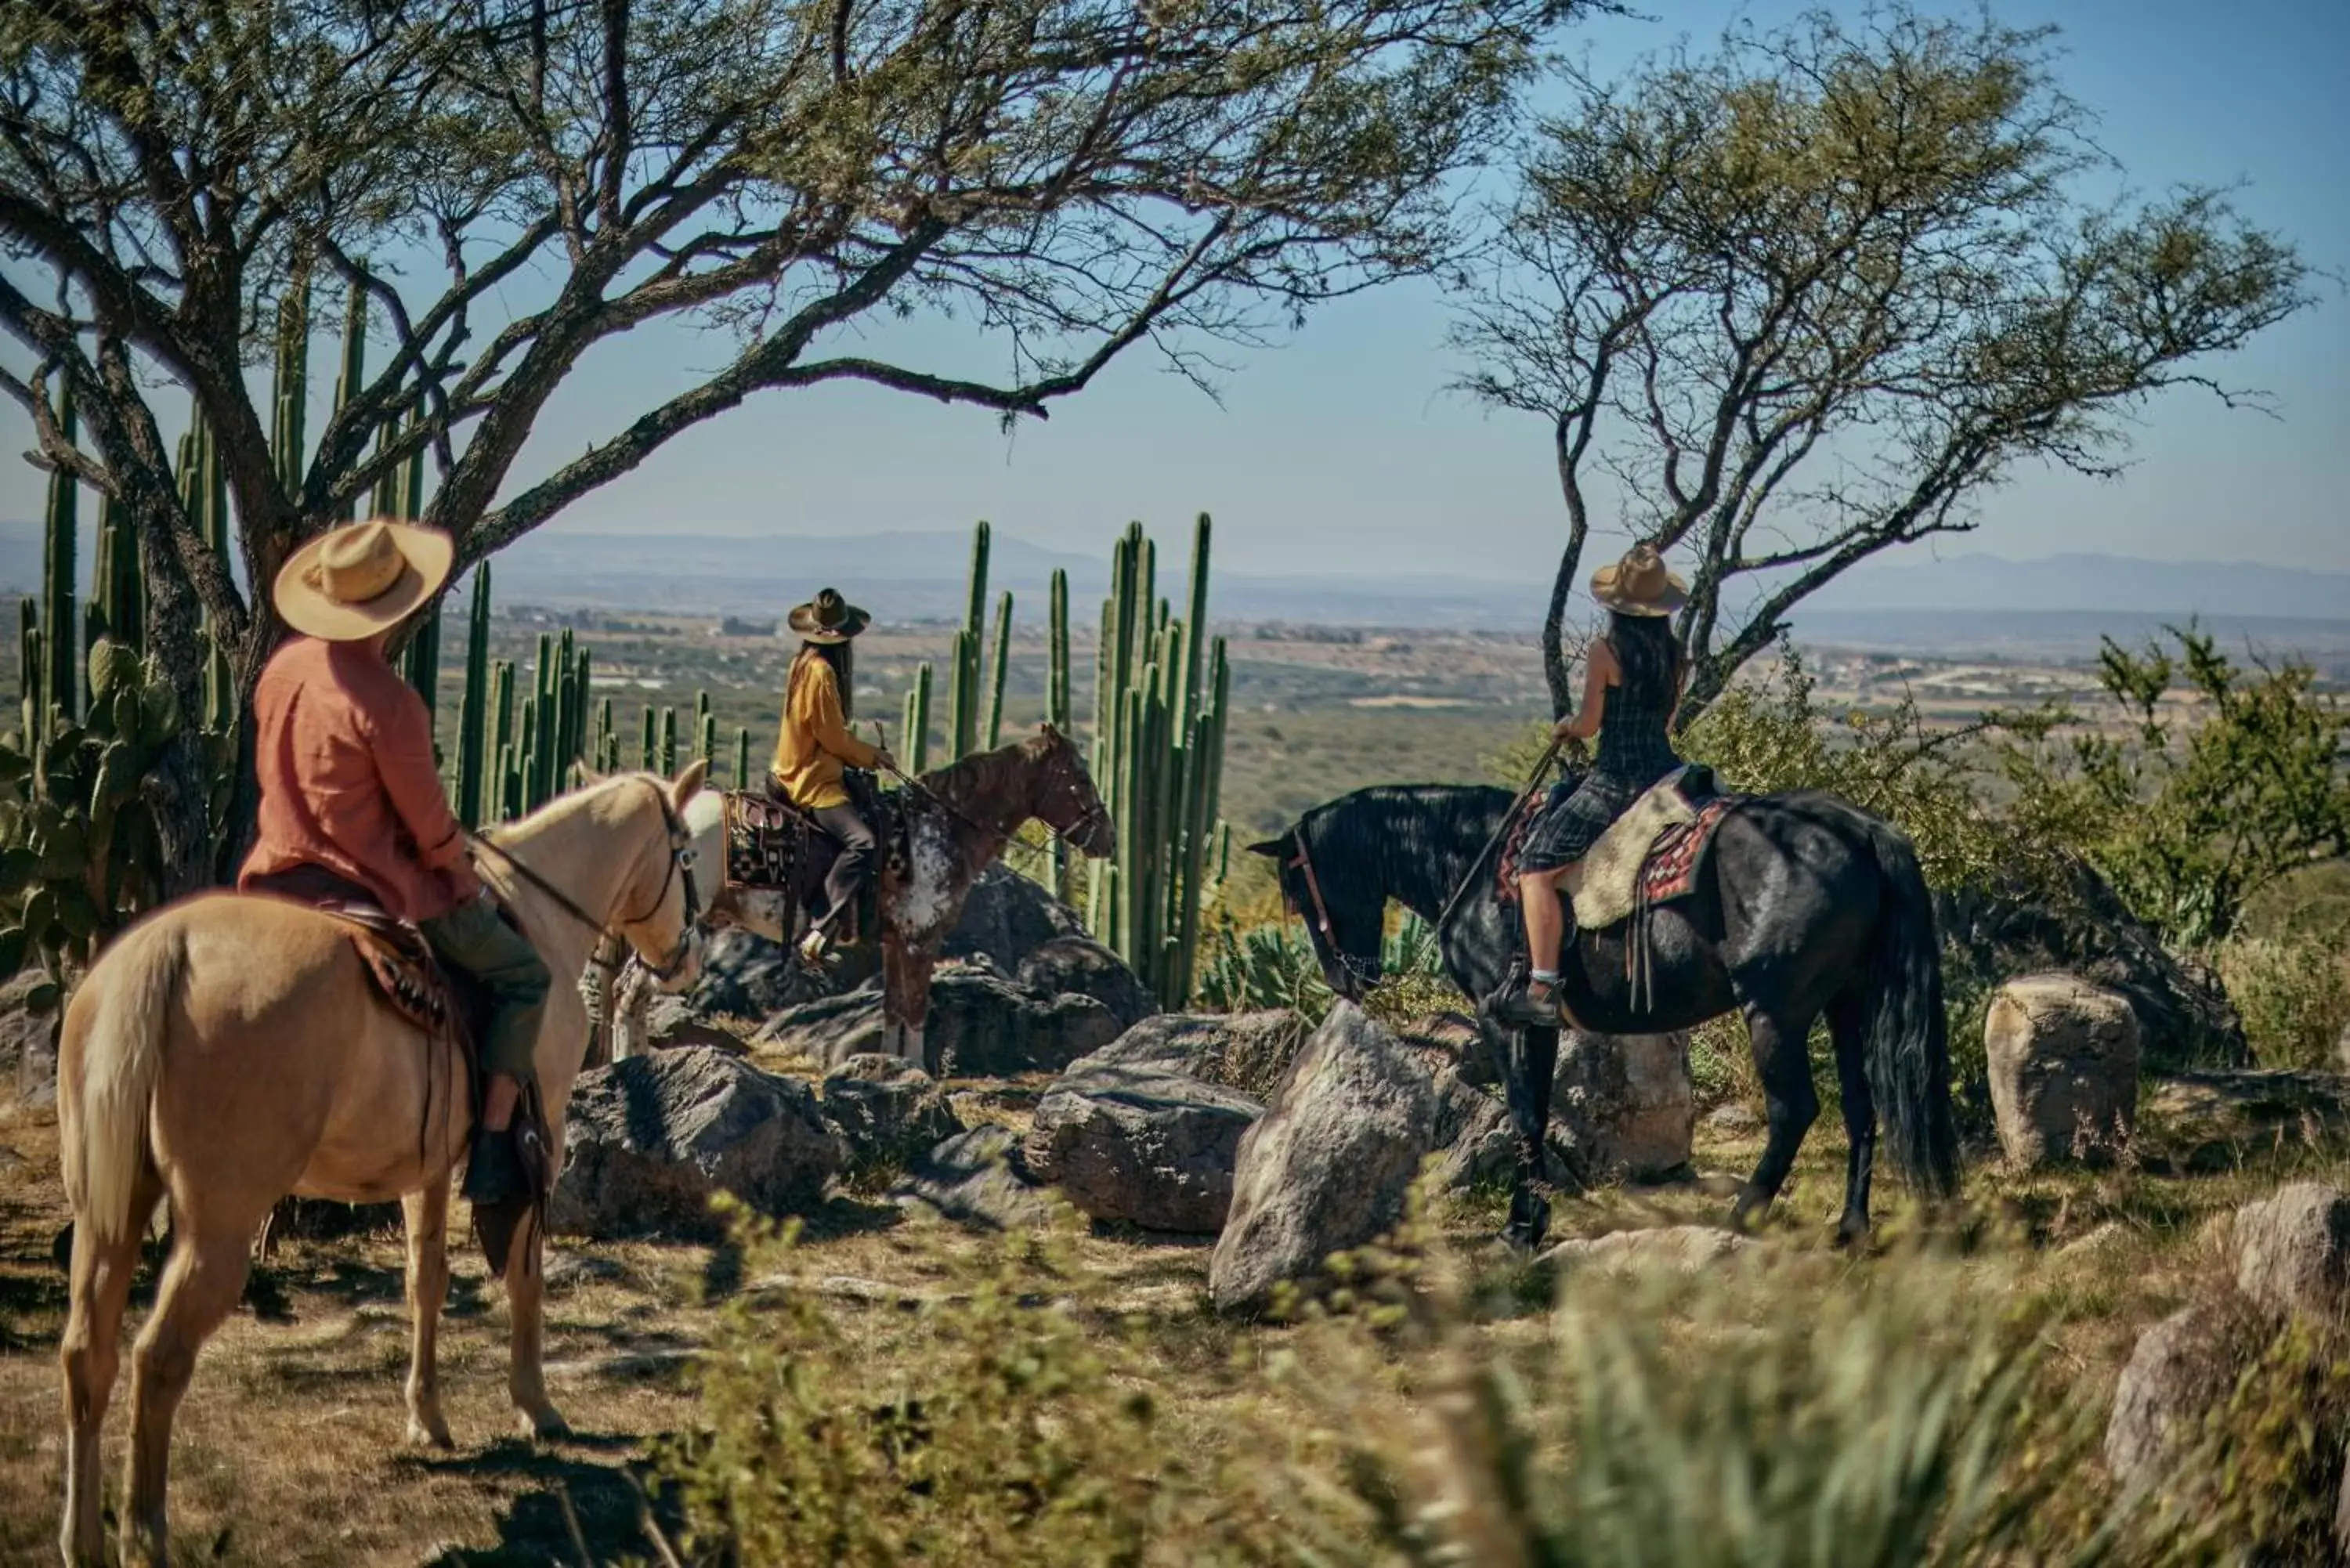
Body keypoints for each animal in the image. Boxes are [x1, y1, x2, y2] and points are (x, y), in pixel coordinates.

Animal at [48, 766, 705, 1560]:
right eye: (687, 852)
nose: (690, 958)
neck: (539, 916)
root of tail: (163, 952)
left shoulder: (427, 1168)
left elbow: (426, 1280)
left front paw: (427, 1416)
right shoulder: (537, 1137)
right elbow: (524, 1273)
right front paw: (536, 1406)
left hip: (106, 1216)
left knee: (88, 1356)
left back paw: (81, 1539)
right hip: (217, 1230)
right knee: (157, 1360)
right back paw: (145, 1535)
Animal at [606, 728, 1119, 1071]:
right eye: (1079, 777)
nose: (1109, 840)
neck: (939, 830)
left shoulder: (895, 943)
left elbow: (893, 1006)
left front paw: (893, 1069)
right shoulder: (920, 940)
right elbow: (917, 1007)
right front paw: (919, 1071)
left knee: (629, 992)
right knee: (631, 991)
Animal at [1250, 771, 1965, 1250]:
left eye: (1296, 890)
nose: (1347, 979)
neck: (1474, 859)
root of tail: (1862, 830)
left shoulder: (1502, 1017)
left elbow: (1525, 1114)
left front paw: (1521, 1228)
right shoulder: (1537, 1027)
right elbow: (1535, 1114)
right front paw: (1530, 1219)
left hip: (1774, 1010)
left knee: (1795, 1110)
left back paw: (1744, 1216)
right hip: (1846, 1003)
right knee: (1861, 1108)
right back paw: (1851, 1227)